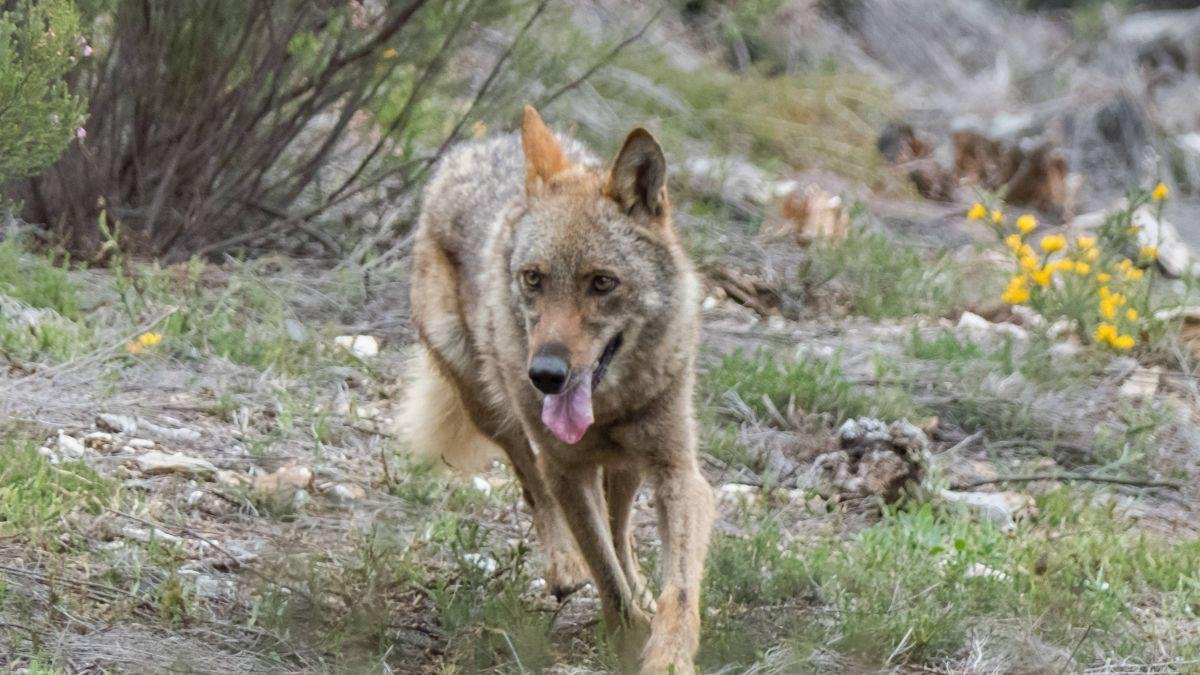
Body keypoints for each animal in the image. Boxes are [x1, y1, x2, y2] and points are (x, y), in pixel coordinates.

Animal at [402, 105, 714, 673]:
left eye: (601, 283)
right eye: (534, 278)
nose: (545, 374)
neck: (610, 407)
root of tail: (478, 147)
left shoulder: (678, 473)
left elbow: (676, 588)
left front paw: (666, 653)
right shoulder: (566, 468)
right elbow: (604, 574)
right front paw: (625, 638)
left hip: (627, 467)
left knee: (620, 530)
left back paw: (638, 589)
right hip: (493, 410)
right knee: (534, 485)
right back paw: (566, 567)